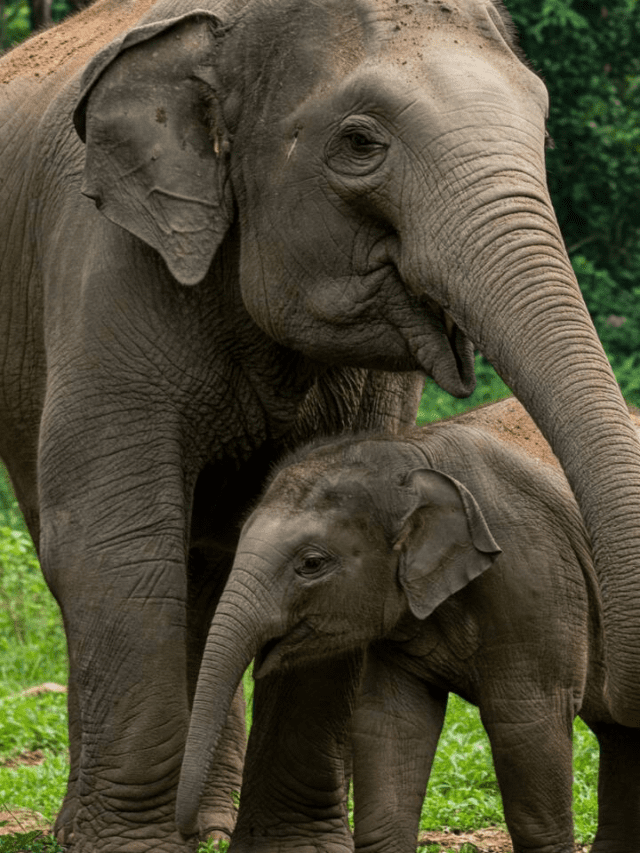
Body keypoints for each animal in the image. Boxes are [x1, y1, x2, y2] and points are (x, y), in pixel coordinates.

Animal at [179, 403, 640, 853]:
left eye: (311, 563)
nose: (196, 836)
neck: (414, 457)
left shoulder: (535, 573)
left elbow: (526, 721)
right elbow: (391, 723)